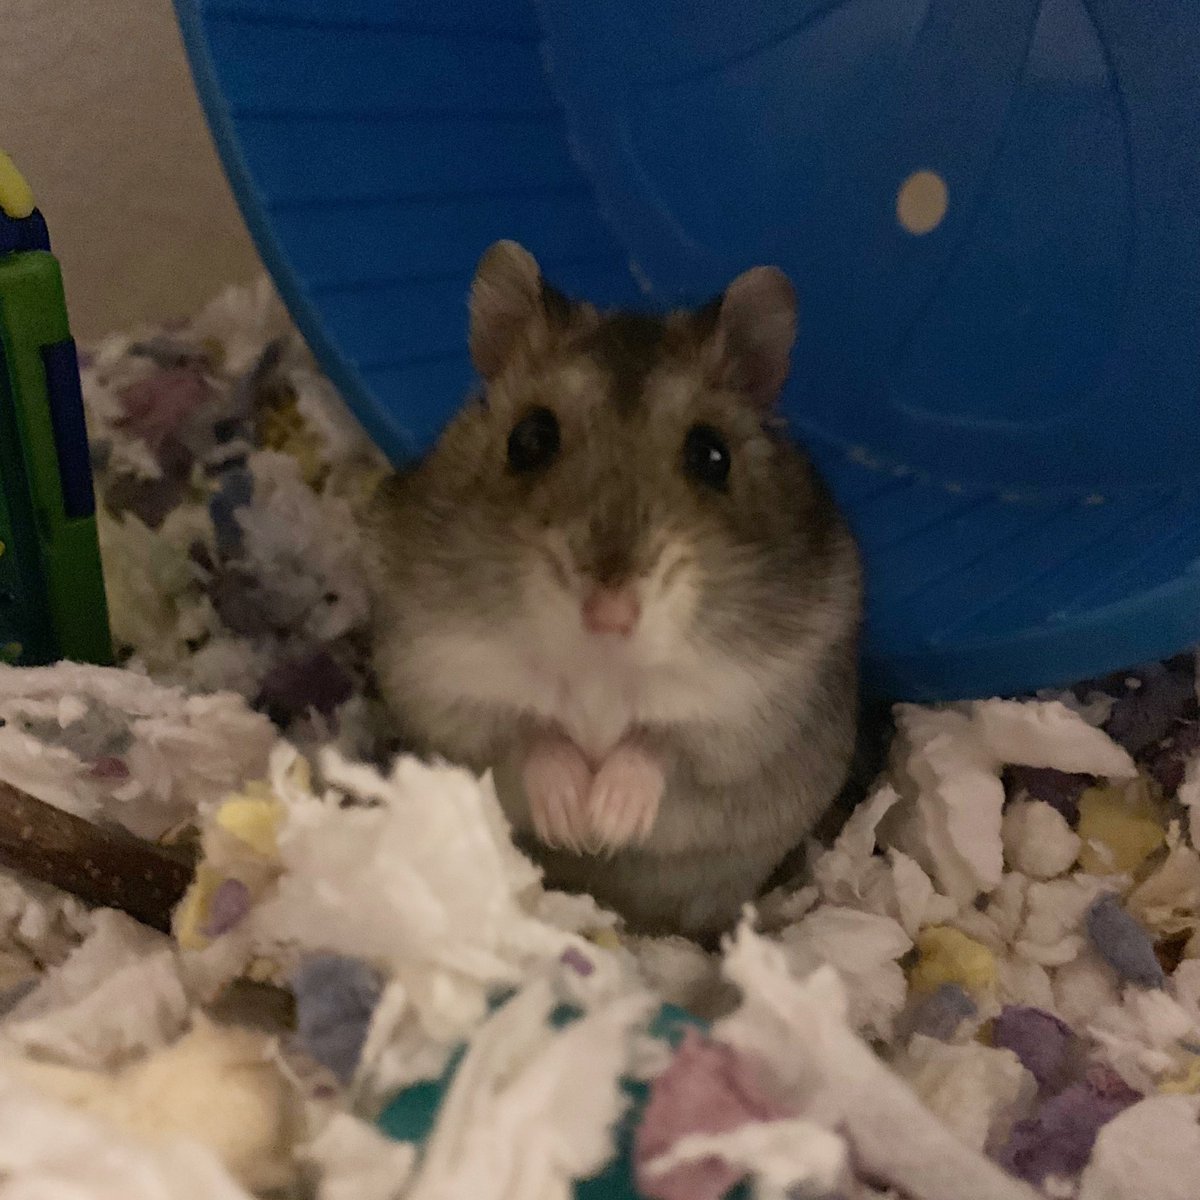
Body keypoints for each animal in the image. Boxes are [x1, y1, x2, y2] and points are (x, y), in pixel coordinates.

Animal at [364, 240, 862, 939]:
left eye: (712, 456)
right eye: (529, 439)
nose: (610, 614)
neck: (599, 668)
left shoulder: (749, 711)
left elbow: (660, 747)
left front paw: (608, 822)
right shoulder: (445, 686)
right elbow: (529, 737)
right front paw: (573, 823)